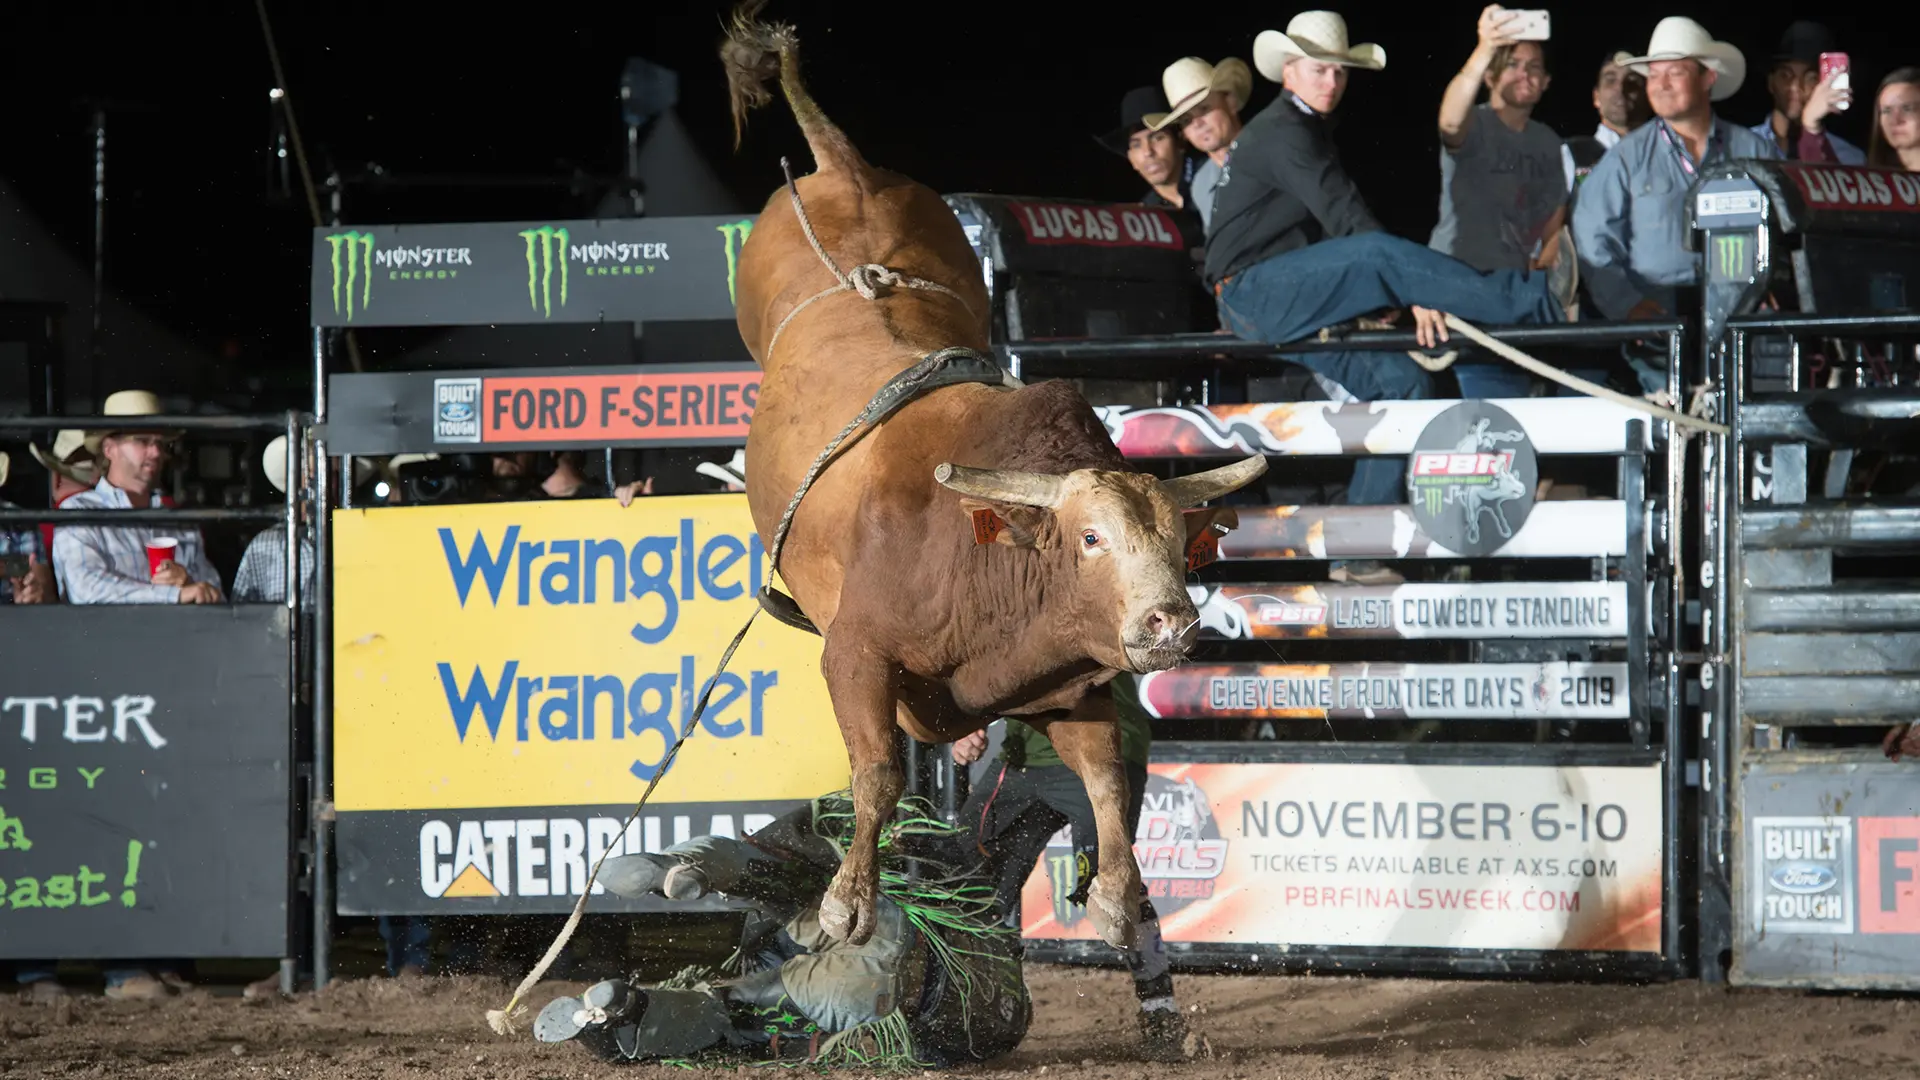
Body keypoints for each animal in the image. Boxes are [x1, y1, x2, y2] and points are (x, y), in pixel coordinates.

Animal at [717, 0, 1266, 952]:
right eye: (1091, 537)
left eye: (1181, 547)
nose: (1169, 622)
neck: (988, 565)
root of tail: (841, 166)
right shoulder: (853, 652)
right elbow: (876, 772)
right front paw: (845, 904)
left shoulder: (1072, 683)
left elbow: (1107, 778)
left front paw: (1119, 899)